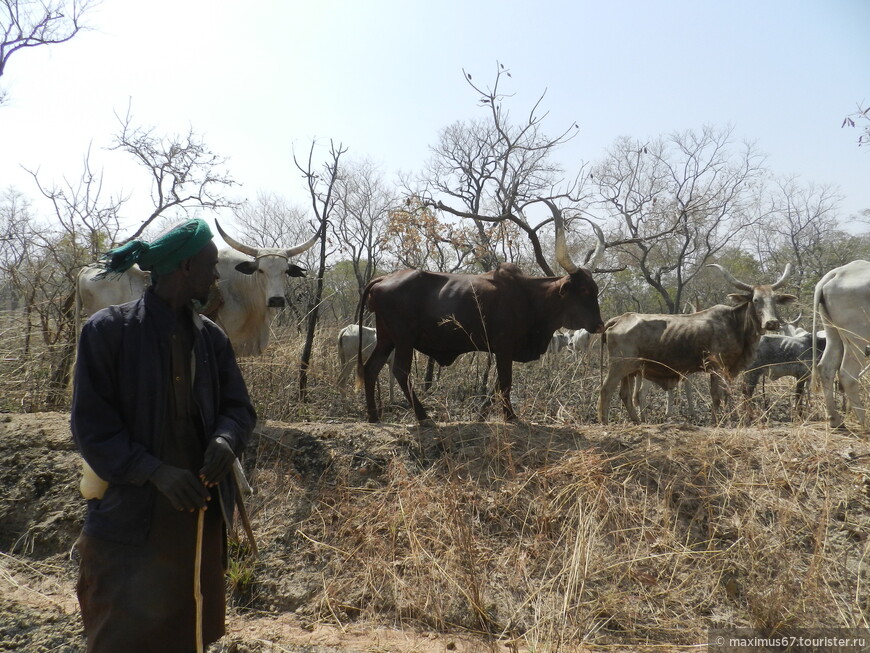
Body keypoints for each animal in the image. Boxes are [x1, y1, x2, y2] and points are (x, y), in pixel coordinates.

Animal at [600, 262, 796, 426]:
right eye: (756, 300)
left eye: (774, 300)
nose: (772, 323)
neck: (735, 324)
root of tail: (620, 318)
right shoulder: (716, 368)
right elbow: (716, 396)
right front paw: (715, 422)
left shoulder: (727, 371)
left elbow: (725, 395)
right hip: (618, 366)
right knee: (606, 390)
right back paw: (604, 422)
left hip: (629, 371)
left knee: (625, 395)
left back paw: (636, 421)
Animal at [812, 260, 870, 428]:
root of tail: (835, 273)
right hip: (857, 334)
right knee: (847, 373)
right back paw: (864, 422)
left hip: (831, 330)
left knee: (826, 367)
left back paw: (835, 420)